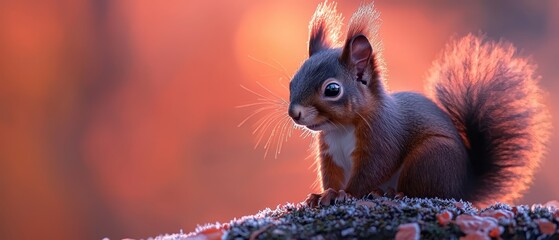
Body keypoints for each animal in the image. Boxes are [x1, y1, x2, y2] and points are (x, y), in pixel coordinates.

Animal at [288, 1, 552, 208]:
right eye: (292, 81)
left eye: (332, 90)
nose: (294, 113)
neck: (341, 129)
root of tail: (465, 188)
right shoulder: (329, 153)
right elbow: (330, 176)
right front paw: (324, 194)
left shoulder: (381, 139)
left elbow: (371, 171)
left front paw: (345, 194)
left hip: (430, 158)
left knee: (421, 190)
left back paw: (389, 192)